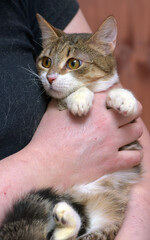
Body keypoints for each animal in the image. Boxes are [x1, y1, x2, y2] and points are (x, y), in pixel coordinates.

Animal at [0, 14, 141, 239]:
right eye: (46, 62)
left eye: (74, 63)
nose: (50, 78)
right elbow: (71, 95)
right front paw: (80, 98)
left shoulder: (132, 143)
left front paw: (124, 98)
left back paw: (67, 217)